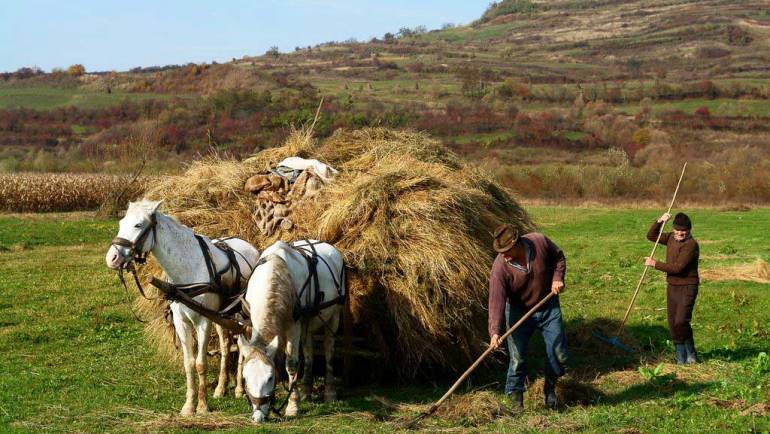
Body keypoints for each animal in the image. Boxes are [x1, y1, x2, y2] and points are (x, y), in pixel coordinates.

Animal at [103, 202, 260, 416]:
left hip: (240, 312)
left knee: (243, 344)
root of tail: (249, 246)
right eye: (121, 223)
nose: (112, 258)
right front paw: (189, 405)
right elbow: (189, 363)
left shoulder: (203, 320)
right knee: (226, 345)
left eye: (138, 225)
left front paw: (202, 406)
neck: (188, 269)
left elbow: (200, 363)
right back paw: (221, 387)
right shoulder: (181, 322)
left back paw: (239, 388)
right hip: (222, 315)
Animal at [234, 239, 342, 422]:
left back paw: (330, 393)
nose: (258, 417)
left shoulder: (294, 325)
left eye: (270, 377)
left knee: (329, 348)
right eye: (245, 377)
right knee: (308, 351)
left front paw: (292, 406)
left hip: (334, 315)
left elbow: (291, 363)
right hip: (308, 322)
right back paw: (306, 392)